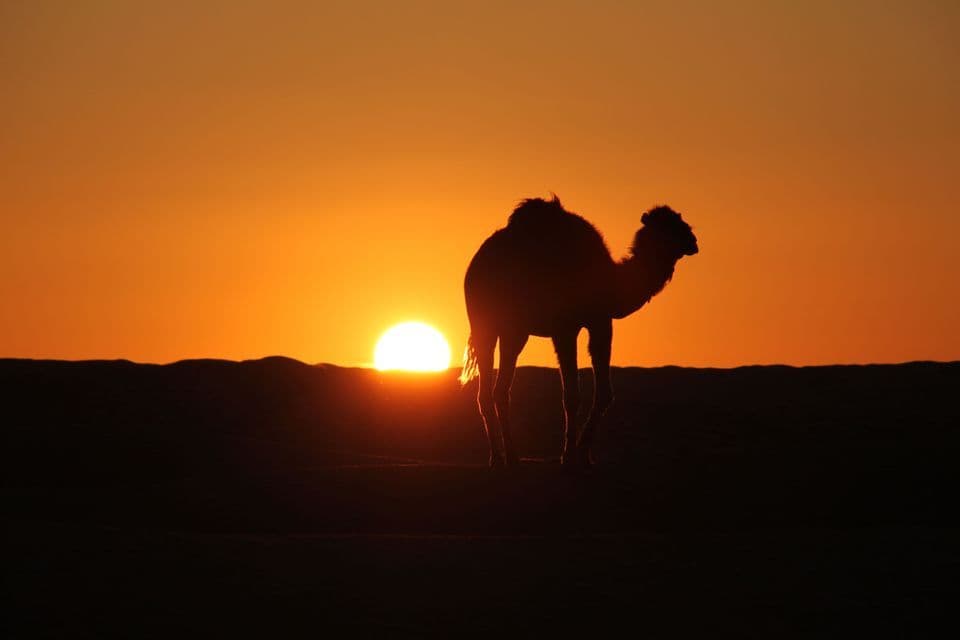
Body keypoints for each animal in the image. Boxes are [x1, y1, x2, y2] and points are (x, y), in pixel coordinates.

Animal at [461, 196, 698, 467]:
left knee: (500, 390)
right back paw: (499, 457)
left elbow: (604, 393)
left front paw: (584, 454)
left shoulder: (601, 322)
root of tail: (475, 265)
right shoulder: (564, 329)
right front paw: (569, 455)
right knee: (487, 389)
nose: (693, 241)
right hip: (484, 323)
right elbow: (572, 395)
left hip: (515, 331)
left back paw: (510, 456)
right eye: (668, 225)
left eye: (679, 219)